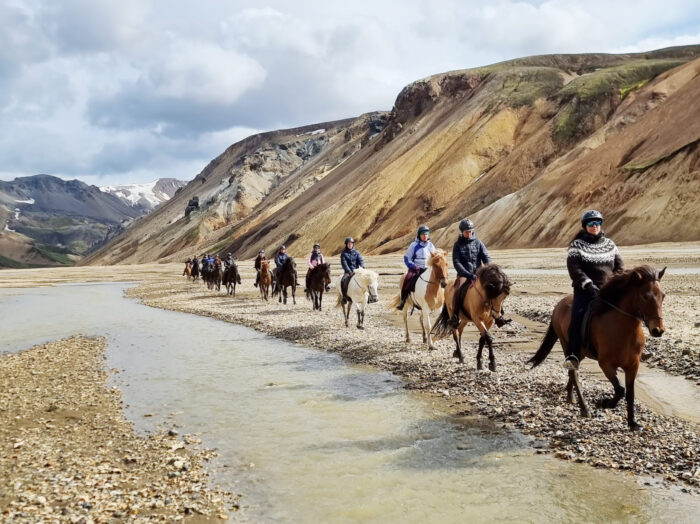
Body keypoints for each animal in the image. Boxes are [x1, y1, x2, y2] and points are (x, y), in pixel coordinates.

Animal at [532, 264, 668, 432]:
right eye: (645, 296)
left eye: (663, 296)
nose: (658, 330)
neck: (622, 330)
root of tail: (559, 305)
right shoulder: (605, 364)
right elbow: (620, 390)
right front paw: (604, 403)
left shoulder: (633, 366)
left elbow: (630, 393)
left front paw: (632, 423)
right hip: (568, 346)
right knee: (574, 373)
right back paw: (584, 408)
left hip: (581, 352)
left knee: (571, 373)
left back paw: (570, 397)